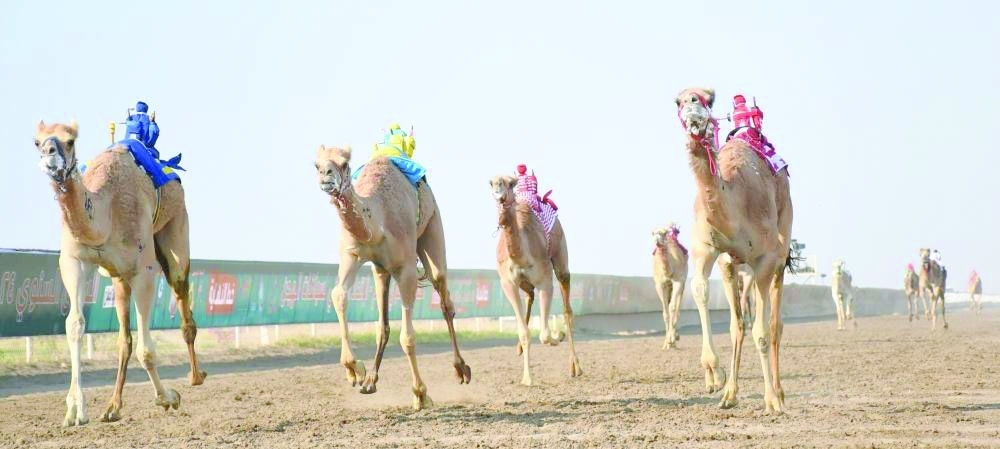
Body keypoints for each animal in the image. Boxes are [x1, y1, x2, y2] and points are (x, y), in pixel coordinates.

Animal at [32, 121, 205, 426]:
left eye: (70, 140)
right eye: (36, 142)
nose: (49, 155)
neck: (105, 212)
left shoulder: (144, 271)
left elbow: (147, 350)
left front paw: (168, 398)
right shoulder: (74, 261)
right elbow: (74, 325)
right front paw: (75, 410)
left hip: (176, 230)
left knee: (183, 300)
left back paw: (195, 377)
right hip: (118, 277)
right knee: (124, 339)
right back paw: (113, 407)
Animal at [315, 145, 471, 410]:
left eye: (345, 164)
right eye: (316, 165)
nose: (326, 175)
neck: (377, 222)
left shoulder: (406, 268)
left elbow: (407, 337)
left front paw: (420, 394)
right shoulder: (354, 256)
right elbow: (338, 295)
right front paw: (355, 370)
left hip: (432, 226)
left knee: (444, 297)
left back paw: (461, 369)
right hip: (382, 271)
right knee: (383, 324)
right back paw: (370, 381)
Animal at [489, 175, 582, 386]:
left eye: (510, 183)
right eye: (491, 183)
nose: (499, 192)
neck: (520, 255)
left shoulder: (545, 280)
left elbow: (545, 334)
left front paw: (558, 335)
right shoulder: (508, 284)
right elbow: (524, 332)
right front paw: (527, 378)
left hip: (561, 255)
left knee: (567, 310)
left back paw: (576, 367)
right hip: (525, 283)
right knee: (530, 296)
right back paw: (518, 349)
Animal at [675, 87, 794, 413]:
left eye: (707, 98)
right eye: (678, 101)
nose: (691, 106)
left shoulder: (764, 259)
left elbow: (762, 332)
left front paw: (771, 400)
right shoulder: (710, 252)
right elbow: (703, 294)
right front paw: (716, 376)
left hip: (781, 248)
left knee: (775, 325)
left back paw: (779, 393)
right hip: (736, 266)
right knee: (741, 323)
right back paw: (732, 393)